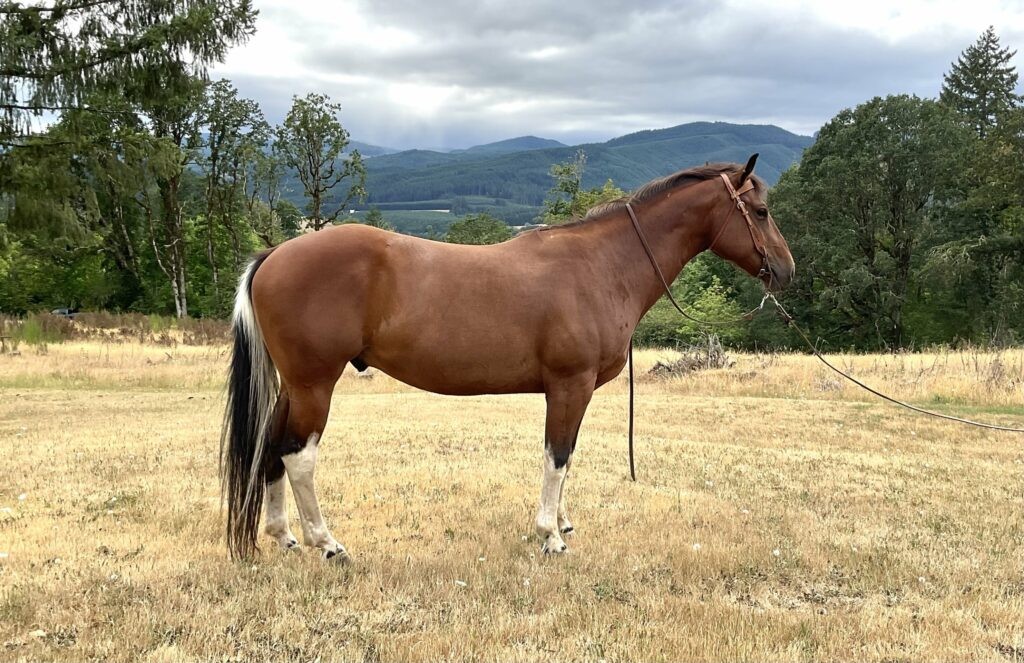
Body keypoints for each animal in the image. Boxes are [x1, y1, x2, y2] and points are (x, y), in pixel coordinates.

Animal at [220, 154, 794, 561]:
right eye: (761, 212)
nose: (786, 271)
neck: (601, 264)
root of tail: (275, 254)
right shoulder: (569, 384)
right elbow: (557, 456)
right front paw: (550, 536)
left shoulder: (572, 391)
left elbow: (567, 455)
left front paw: (561, 522)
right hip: (315, 385)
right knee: (299, 456)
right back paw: (327, 543)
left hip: (294, 387)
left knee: (271, 448)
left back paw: (284, 536)